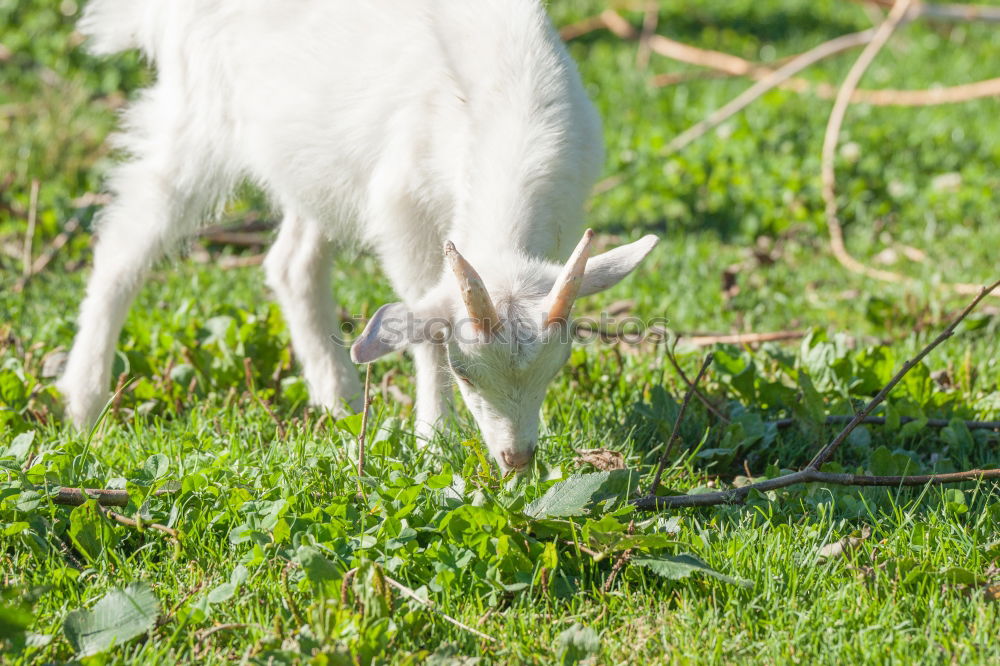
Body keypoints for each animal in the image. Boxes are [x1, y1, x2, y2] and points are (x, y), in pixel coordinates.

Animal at [60, 0, 656, 466]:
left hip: (315, 158)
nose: (517, 459)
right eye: (465, 372)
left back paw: (339, 402)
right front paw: (433, 440)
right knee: (125, 240)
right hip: (199, 114)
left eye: (559, 367)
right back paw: (84, 402)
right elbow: (422, 328)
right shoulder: (405, 214)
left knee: (292, 263)